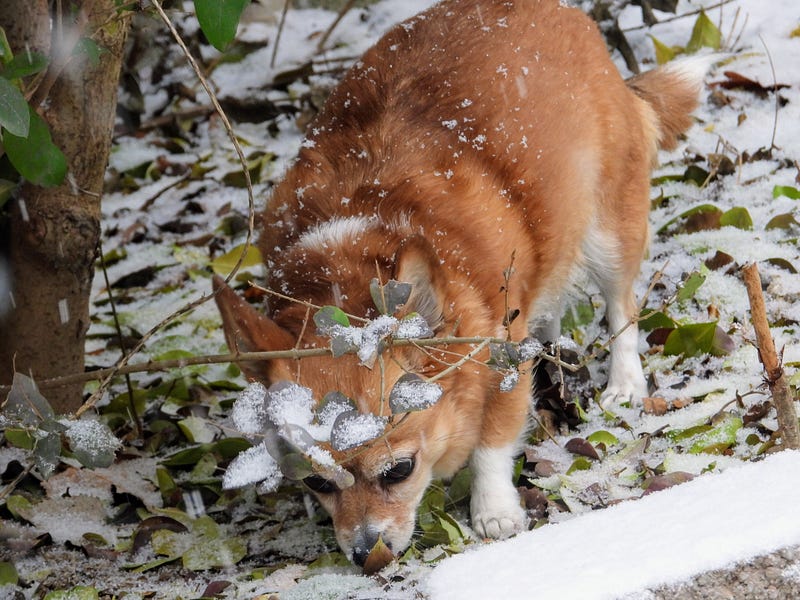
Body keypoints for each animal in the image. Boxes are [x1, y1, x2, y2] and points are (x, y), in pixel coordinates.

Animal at [212, 0, 708, 568]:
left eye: (399, 471)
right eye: (318, 483)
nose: (367, 558)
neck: (341, 267)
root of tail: (570, 16)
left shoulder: (501, 364)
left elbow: (491, 445)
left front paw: (493, 511)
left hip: (608, 235)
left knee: (621, 306)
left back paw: (624, 382)